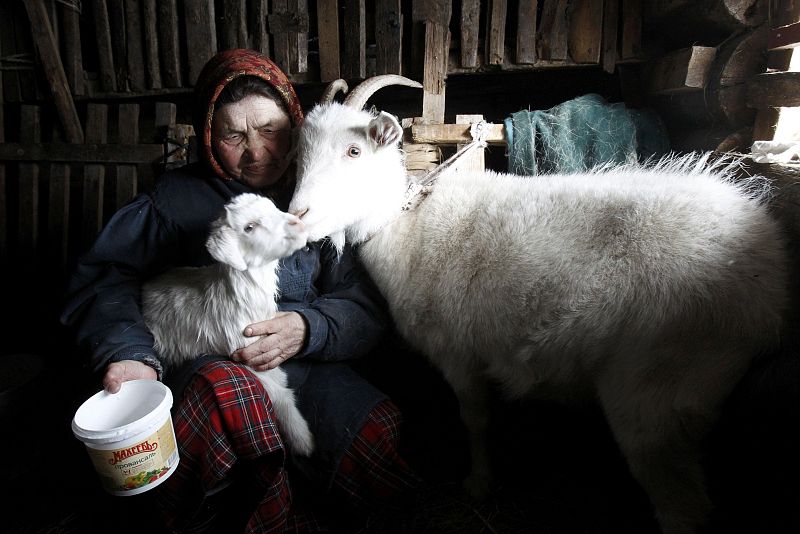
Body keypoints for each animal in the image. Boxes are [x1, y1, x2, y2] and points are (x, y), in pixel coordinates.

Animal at [142, 193, 314, 456]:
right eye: (249, 227)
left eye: (273, 207)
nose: (298, 224)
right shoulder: (242, 352)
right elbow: (279, 392)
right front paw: (302, 439)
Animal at [288, 76, 789, 533]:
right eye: (301, 154)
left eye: (354, 152)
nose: (297, 216)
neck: (407, 226)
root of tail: (769, 284)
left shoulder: (459, 355)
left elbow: (476, 421)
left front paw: (479, 482)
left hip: (658, 391)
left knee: (683, 508)